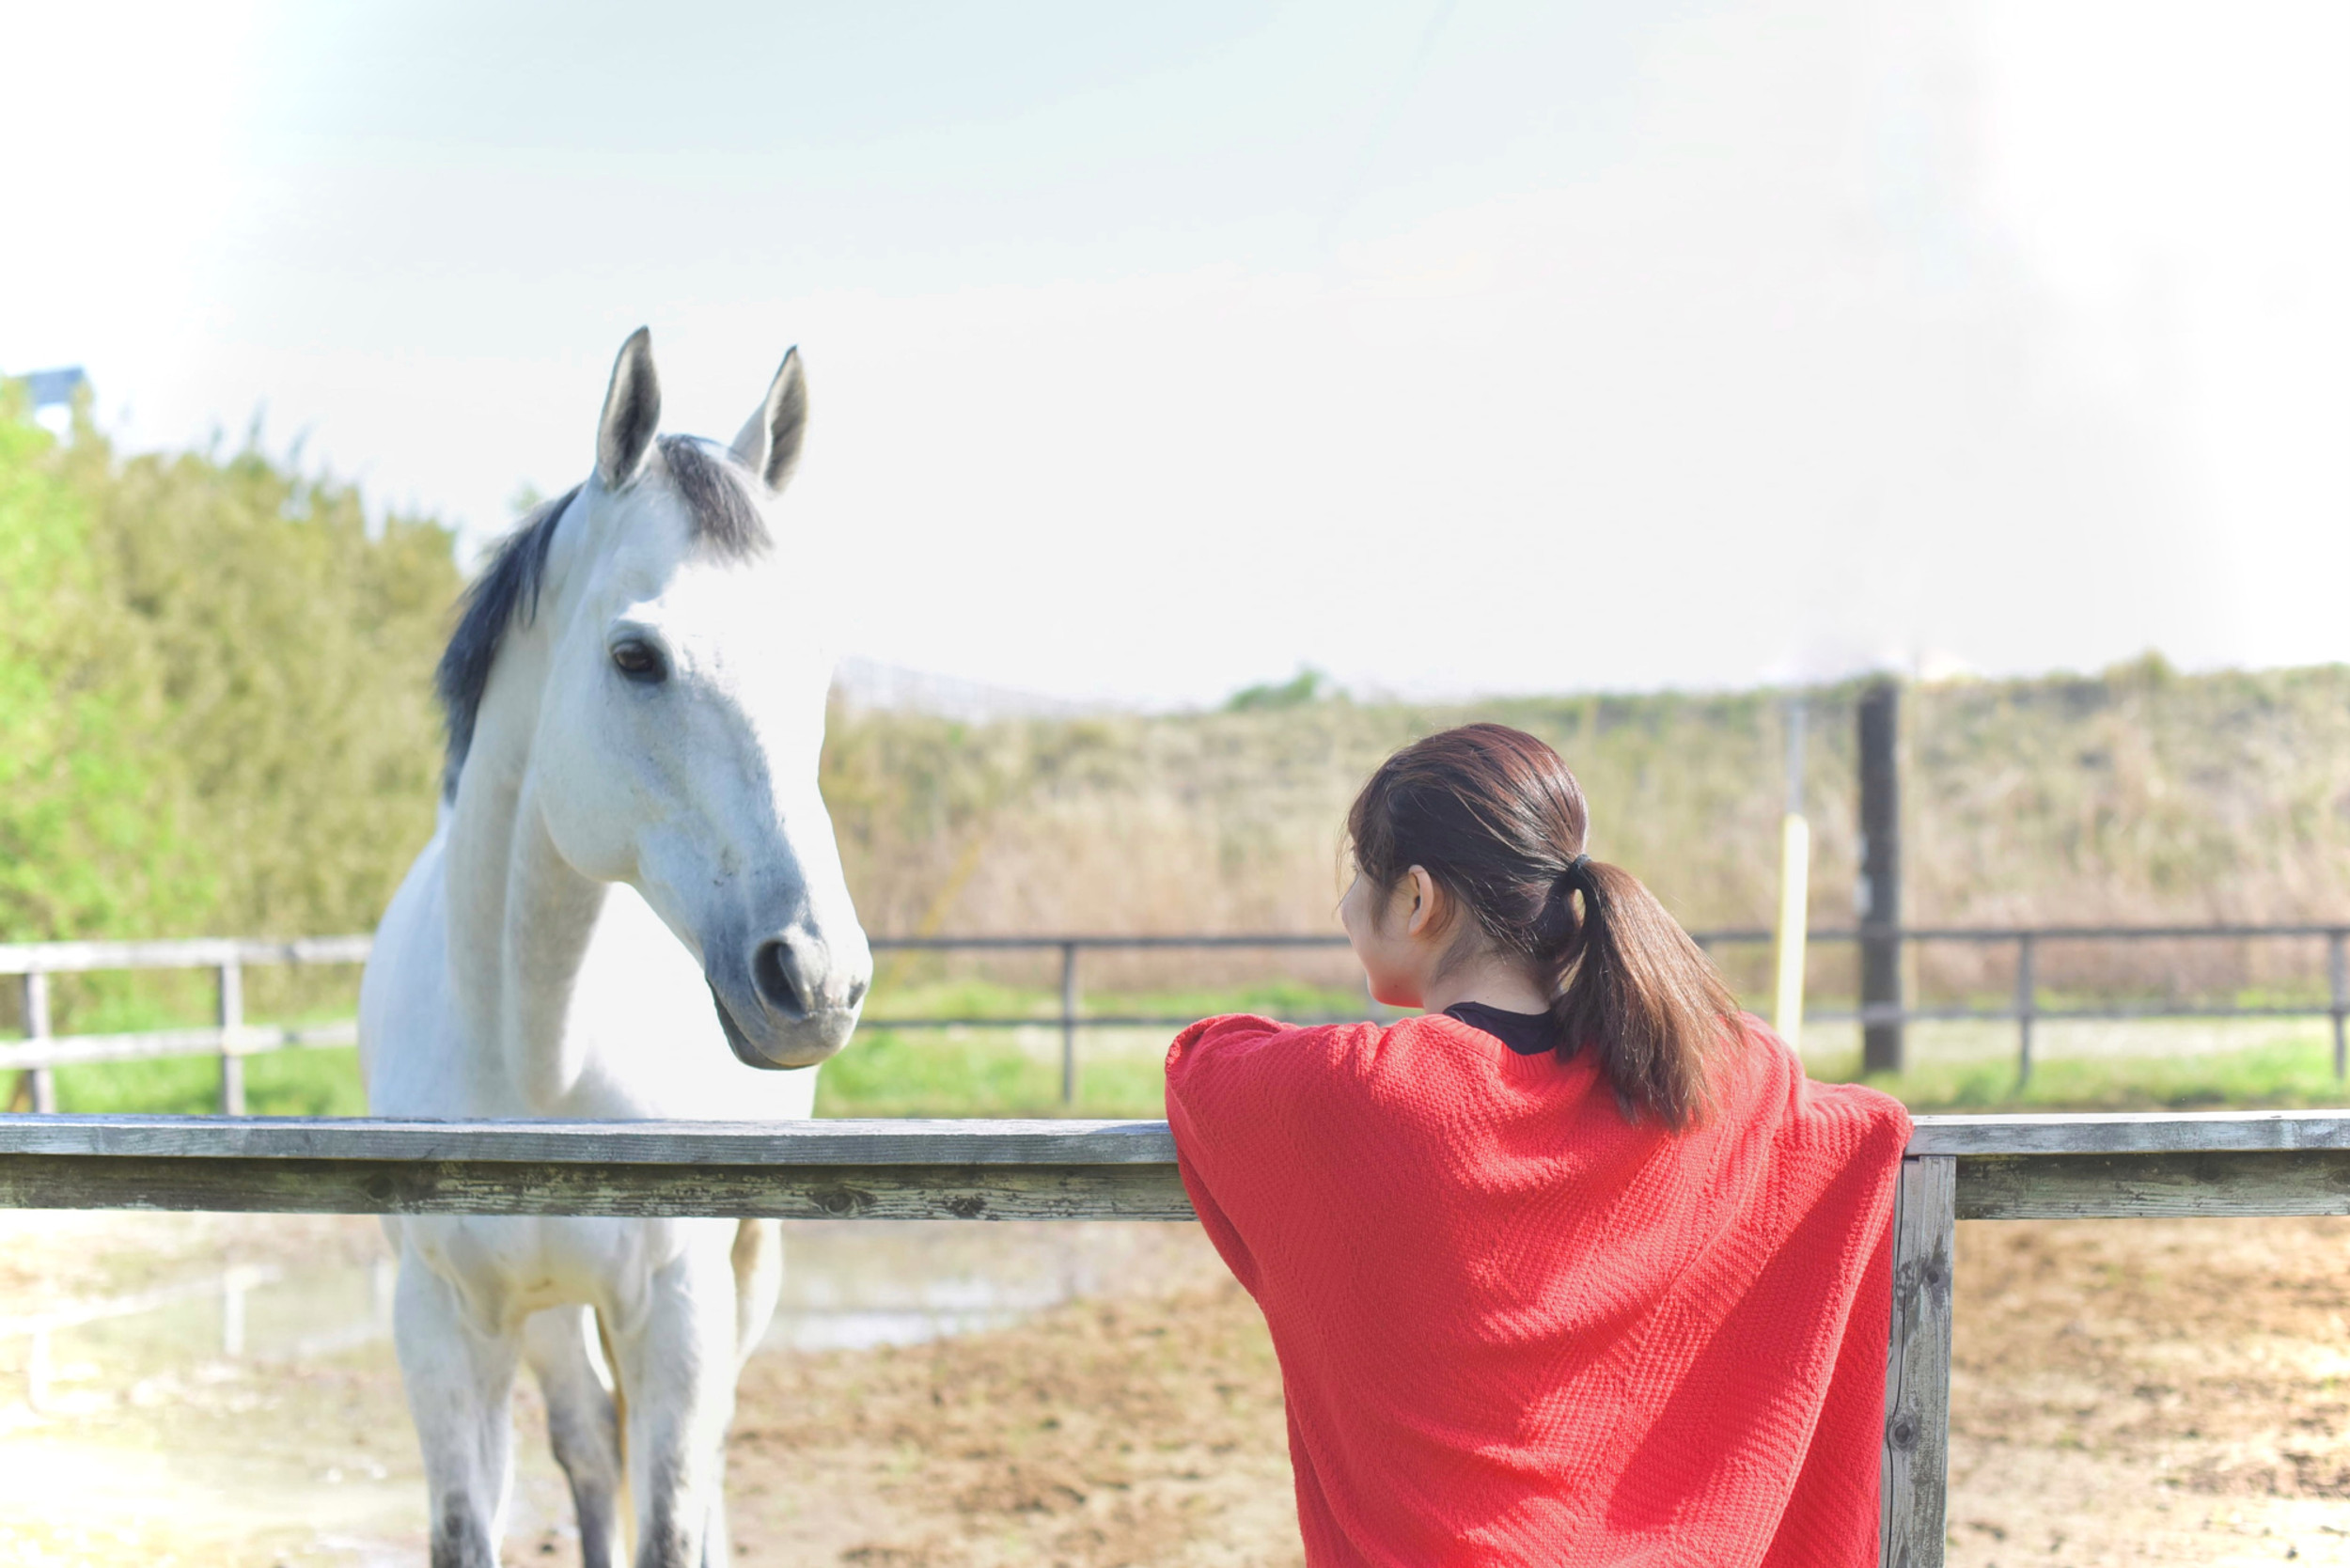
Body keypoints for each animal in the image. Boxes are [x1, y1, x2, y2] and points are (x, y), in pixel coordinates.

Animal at [358, 328, 873, 1568]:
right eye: (636, 657)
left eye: (814, 659)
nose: (816, 978)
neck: (534, 1059)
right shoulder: (440, 1324)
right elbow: (477, 1522)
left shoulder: (679, 1310)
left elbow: (675, 1518)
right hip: (546, 1316)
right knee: (590, 1444)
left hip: (743, 1275)